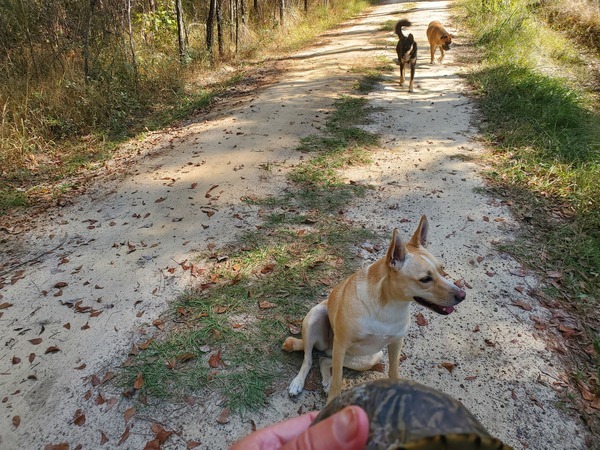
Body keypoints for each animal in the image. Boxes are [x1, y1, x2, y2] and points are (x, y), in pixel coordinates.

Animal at [284, 216, 466, 402]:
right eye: (425, 279)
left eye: (442, 270)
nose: (462, 295)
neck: (388, 308)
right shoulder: (340, 345)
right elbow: (337, 382)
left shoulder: (396, 344)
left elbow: (393, 372)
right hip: (315, 319)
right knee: (309, 359)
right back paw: (298, 382)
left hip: (370, 358)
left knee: (324, 360)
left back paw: (326, 380)